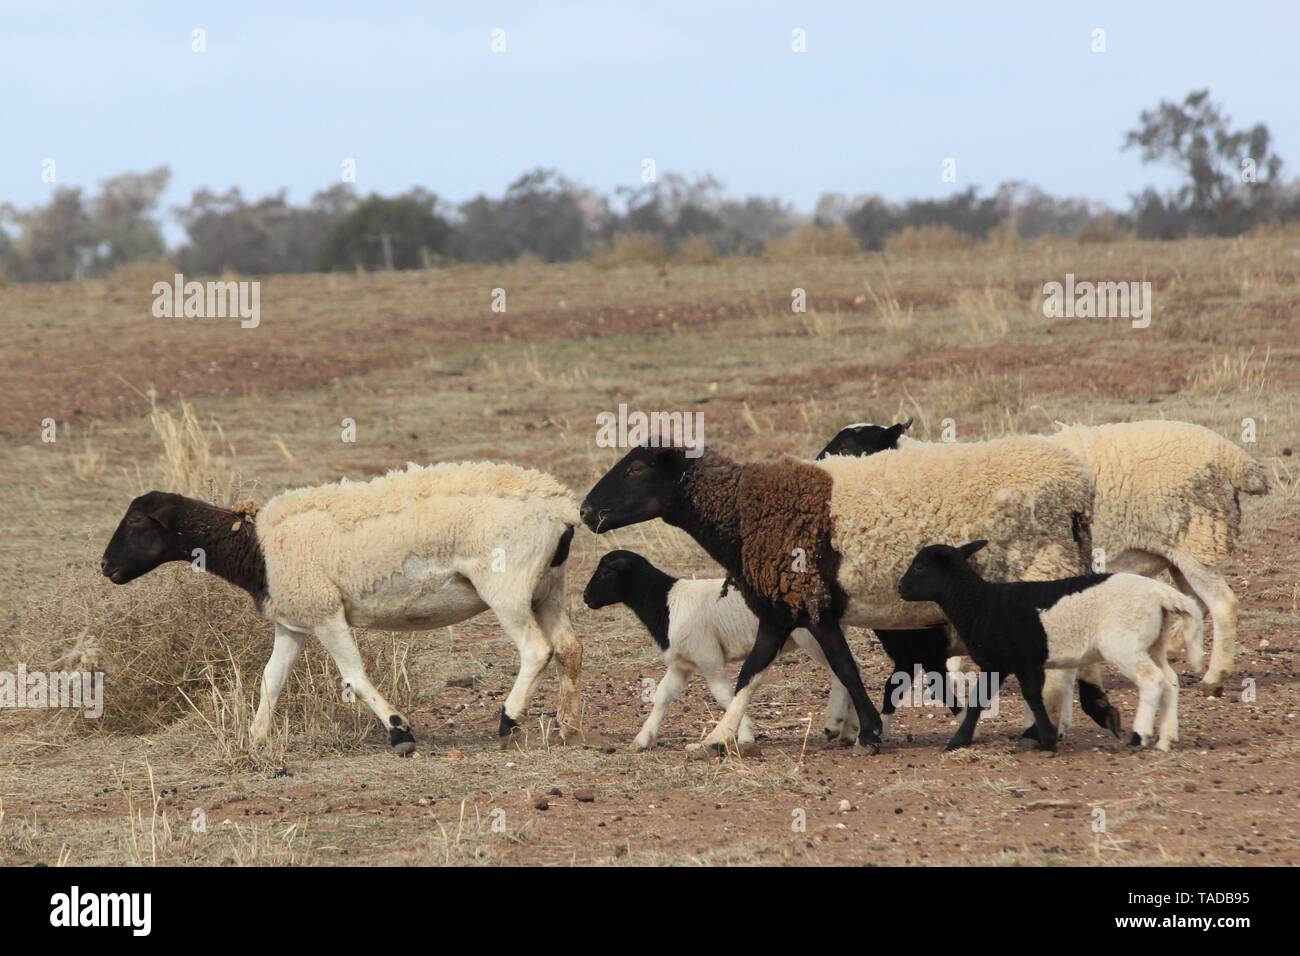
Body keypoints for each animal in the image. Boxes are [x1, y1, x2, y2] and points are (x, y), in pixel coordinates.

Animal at [104, 463, 582, 754]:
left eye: (137, 521)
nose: (105, 566)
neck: (257, 546)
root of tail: (560, 507)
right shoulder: (295, 623)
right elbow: (271, 681)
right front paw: (256, 739)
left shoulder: (326, 613)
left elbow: (354, 675)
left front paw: (400, 731)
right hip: (548, 586)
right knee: (570, 648)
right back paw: (568, 726)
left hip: (506, 587)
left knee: (537, 650)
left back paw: (508, 719)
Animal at [582, 548, 847, 749]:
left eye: (606, 572)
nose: (586, 597)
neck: (666, 602)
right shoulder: (681, 664)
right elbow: (663, 695)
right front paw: (642, 739)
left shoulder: (709, 657)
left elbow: (724, 694)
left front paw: (743, 735)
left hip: (811, 638)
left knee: (841, 669)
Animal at [899, 541, 1201, 749]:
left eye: (920, 566)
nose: (900, 588)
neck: (981, 604)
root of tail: (1160, 593)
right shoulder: (1003, 663)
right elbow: (985, 699)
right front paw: (960, 740)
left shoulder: (1017, 660)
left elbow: (1027, 695)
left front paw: (1046, 739)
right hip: (1152, 643)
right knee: (1170, 680)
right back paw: (1166, 739)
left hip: (1125, 645)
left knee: (1152, 680)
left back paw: (1140, 736)